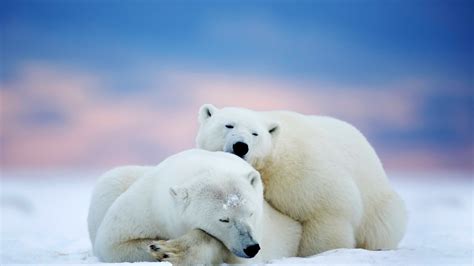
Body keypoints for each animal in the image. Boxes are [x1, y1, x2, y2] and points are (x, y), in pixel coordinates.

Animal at [88, 150, 300, 264]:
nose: (251, 247)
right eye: (224, 219)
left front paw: (169, 250)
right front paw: (160, 247)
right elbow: (114, 244)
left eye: (251, 213)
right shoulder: (147, 205)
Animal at [196, 103, 408, 256]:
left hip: (378, 206)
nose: (241, 146)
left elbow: (327, 211)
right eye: (228, 125)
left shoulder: (304, 173)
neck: (272, 163)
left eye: (255, 133)